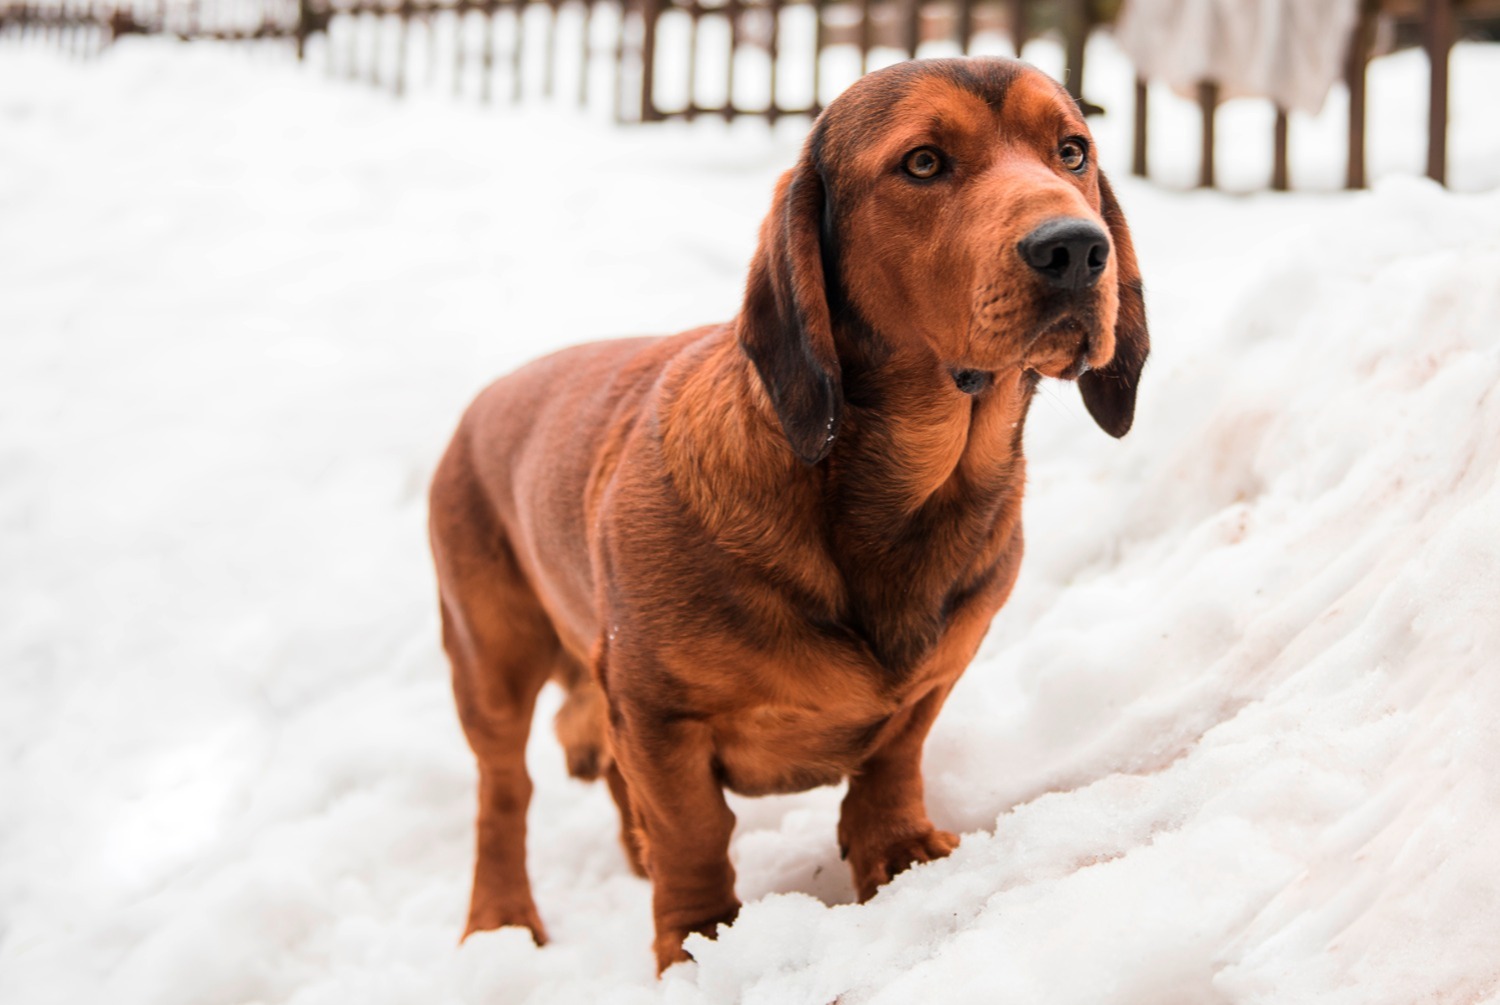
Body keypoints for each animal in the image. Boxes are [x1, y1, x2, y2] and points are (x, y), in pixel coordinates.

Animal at [429, 57, 1152, 978]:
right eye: (923, 163)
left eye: (1072, 151)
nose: (1076, 248)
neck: (905, 492)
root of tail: (487, 397)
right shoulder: (656, 712)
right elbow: (693, 830)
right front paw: (698, 941)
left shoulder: (934, 678)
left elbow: (892, 762)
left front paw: (898, 852)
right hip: (490, 660)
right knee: (504, 793)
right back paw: (500, 921)